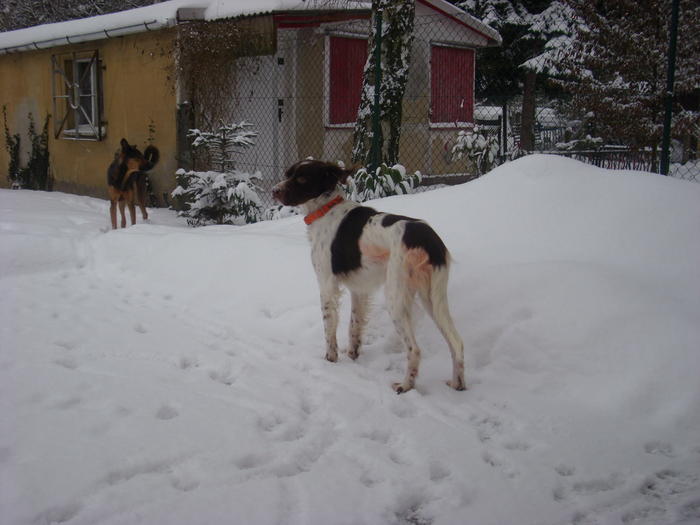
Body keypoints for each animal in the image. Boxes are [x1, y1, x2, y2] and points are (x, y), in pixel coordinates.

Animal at [274, 160, 464, 392]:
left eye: (301, 178)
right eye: (287, 174)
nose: (274, 191)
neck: (326, 209)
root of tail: (427, 238)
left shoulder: (326, 284)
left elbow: (329, 327)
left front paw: (330, 359)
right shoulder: (359, 287)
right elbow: (354, 325)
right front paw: (352, 354)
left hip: (396, 297)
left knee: (415, 349)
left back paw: (405, 385)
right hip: (432, 297)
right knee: (456, 342)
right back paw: (458, 384)